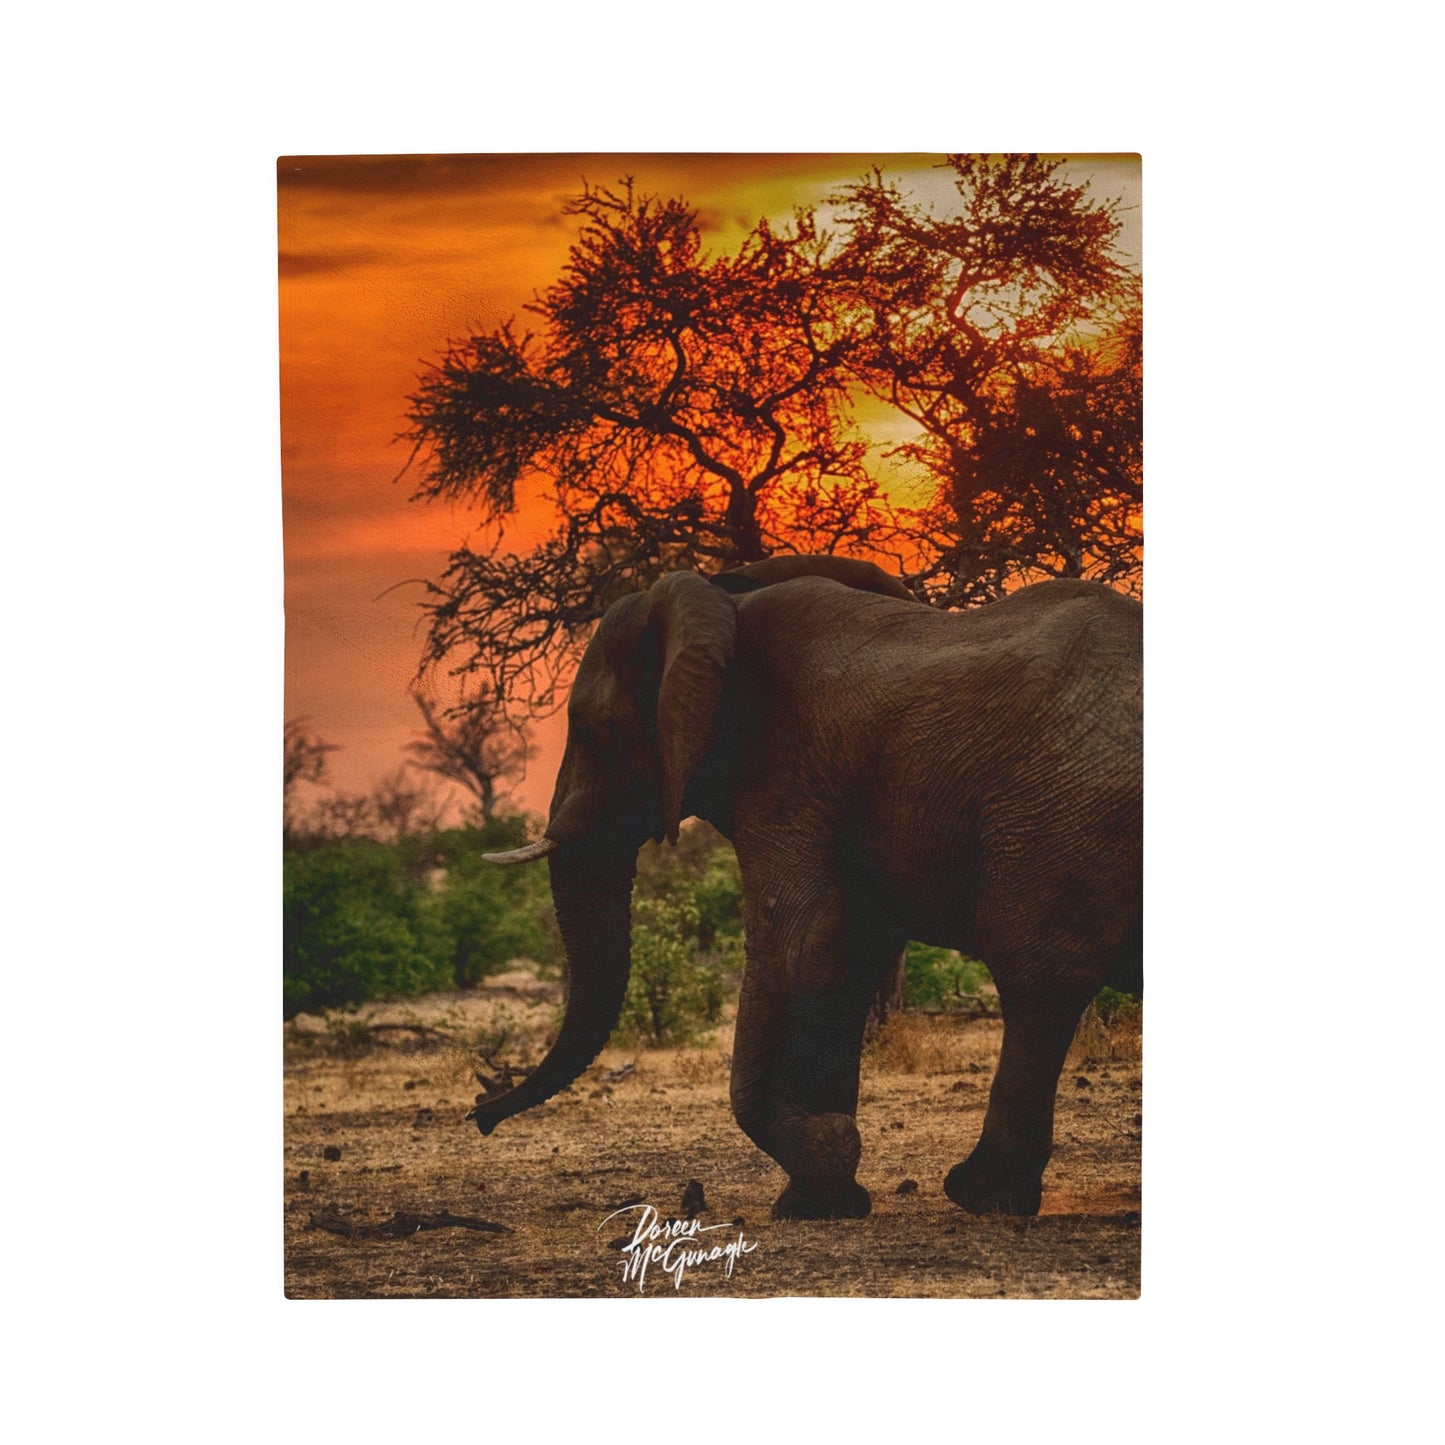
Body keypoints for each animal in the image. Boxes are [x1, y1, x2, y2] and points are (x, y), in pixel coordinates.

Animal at [474, 556, 1142, 1219]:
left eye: (591, 729)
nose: (480, 1116)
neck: (724, 603)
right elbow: (850, 956)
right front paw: (823, 1196)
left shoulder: (786, 778)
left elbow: (800, 947)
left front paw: (822, 1159)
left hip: (1063, 812)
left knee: (1036, 975)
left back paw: (981, 1194)